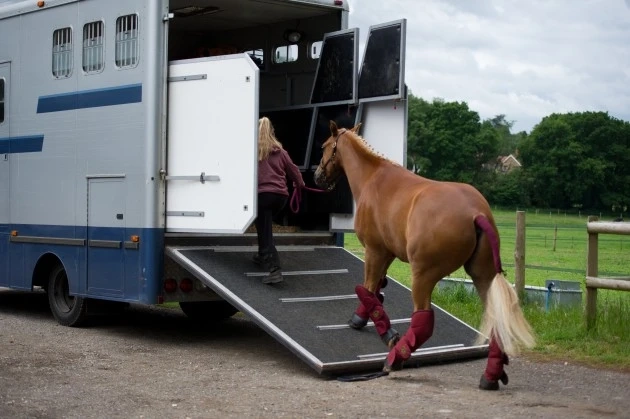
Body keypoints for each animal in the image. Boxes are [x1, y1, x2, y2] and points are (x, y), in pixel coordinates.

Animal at [314, 120, 536, 390]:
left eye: (325, 146)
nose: (317, 176)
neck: (373, 179)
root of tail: (476, 213)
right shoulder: (386, 254)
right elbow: (374, 290)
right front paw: (360, 319)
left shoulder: (374, 251)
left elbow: (366, 288)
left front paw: (386, 333)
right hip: (483, 277)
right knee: (495, 318)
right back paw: (490, 375)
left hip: (423, 275)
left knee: (424, 321)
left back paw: (395, 358)